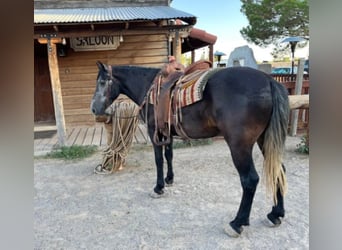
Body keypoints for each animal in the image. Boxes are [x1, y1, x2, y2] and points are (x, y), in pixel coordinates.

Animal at [90, 60, 288, 236]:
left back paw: (237, 223)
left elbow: (158, 160)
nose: (93, 109)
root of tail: (268, 80)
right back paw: (275, 214)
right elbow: (169, 156)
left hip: (239, 145)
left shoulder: (154, 132)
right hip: (265, 140)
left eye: (102, 82)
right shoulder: (167, 132)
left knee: (250, 180)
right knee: (279, 170)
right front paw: (169, 179)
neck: (148, 87)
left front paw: (158, 188)